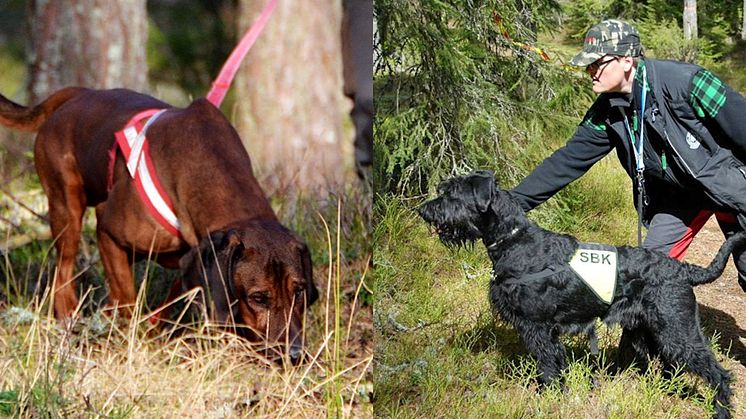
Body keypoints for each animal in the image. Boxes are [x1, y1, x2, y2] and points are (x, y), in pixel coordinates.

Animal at [0, 88, 316, 360]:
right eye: (259, 297)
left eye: (299, 290)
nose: (295, 355)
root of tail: (79, 93)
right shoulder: (109, 234)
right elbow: (126, 298)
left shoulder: (192, 260)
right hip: (66, 205)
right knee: (64, 274)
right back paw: (69, 321)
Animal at [418, 170, 744, 416]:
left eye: (452, 194)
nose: (423, 210)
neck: (516, 241)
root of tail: (683, 270)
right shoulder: (547, 331)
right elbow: (555, 363)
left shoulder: (537, 327)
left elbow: (548, 365)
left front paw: (548, 397)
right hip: (650, 330)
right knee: (670, 364)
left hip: (678, 328)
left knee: (718, 372)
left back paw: (721, 410)